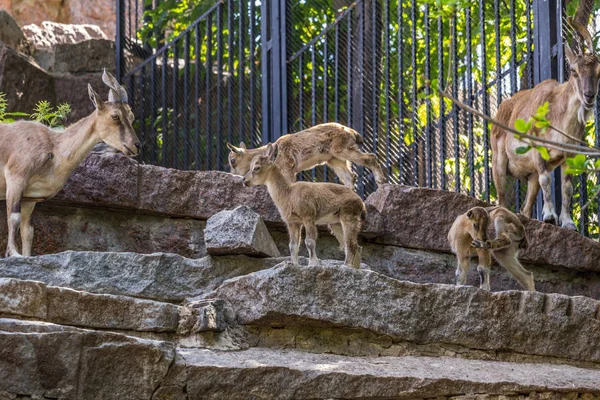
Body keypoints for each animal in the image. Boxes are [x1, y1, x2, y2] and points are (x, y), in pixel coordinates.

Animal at [0, 70, 139, 258]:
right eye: (115, 116)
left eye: (131, 116)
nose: (136, 145)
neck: (53, 146)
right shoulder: (16, 177)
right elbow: (13, 218)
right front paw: (14, 254)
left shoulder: (31, 197)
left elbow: (28, 230)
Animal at [227, 122, 386, 189]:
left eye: (233, 160)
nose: (235, 175)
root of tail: (351, 132)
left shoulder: (288, 168)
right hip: (334, 159)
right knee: (350, 177)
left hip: (340, 150)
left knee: (370, 157)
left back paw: (381, 181)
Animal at [492, 21, 600, 228]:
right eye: (573, 71)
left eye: (598, 72)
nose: (589, 96)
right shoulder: (538, 149)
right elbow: (546, 179)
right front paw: (550, 216)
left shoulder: (569, 154)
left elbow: (567, 187)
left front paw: (568, 223)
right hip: (498, 159)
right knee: (501, 198)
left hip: (529, 175)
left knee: (527, 204)